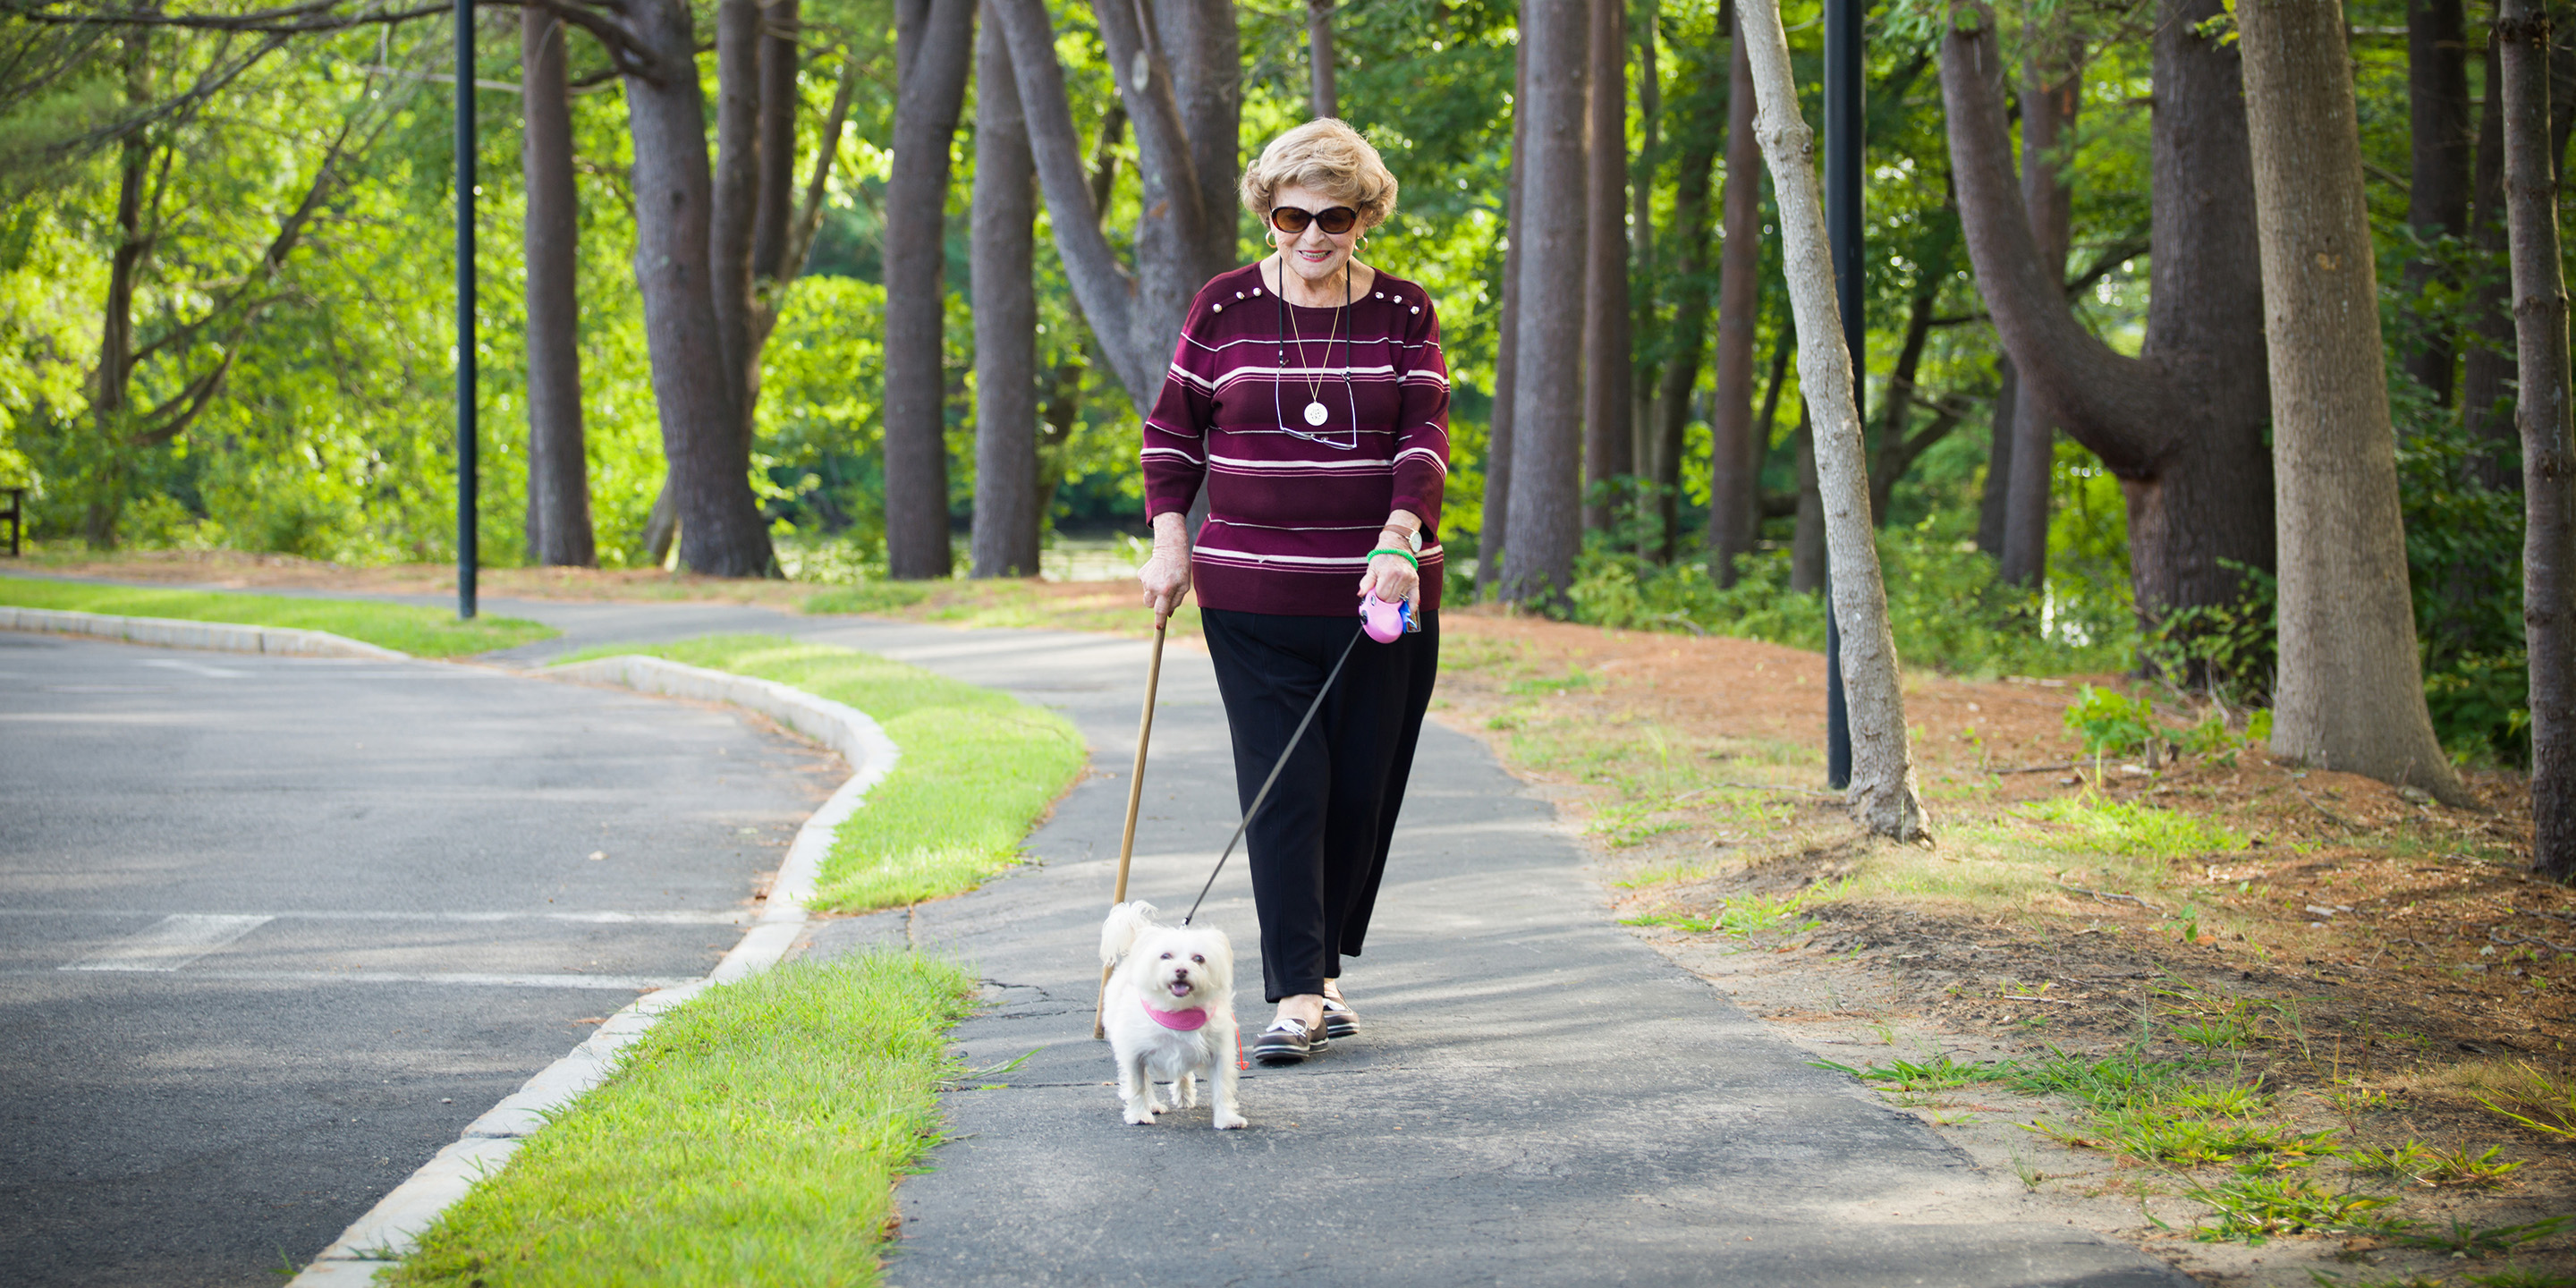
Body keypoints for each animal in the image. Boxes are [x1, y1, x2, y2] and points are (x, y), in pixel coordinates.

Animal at [1097, 902, 1246, 1133]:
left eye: (1199, 958)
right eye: (1165, 956)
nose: (1181, 970)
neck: (1179, 1013)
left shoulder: (1219, 1054)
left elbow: (1222, 1088)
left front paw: (1227, 1118)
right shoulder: (1134, 1055)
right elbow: (1138, 1085)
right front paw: (1139, 1114)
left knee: (1183, 1075)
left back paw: (1184, 1096)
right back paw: (1153, 1105)